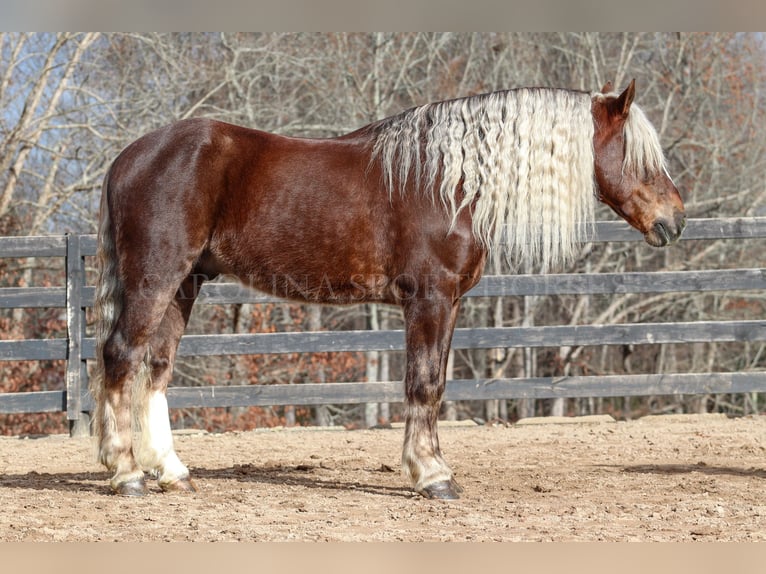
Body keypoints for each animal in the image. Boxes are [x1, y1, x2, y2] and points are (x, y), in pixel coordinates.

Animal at [91, 80, 688, 500]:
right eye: (639, 156)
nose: (675, 220)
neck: (450, 181)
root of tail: (128, 157)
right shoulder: (429, 299)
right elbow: (422, 385)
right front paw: (432, 476)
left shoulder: (449, 305)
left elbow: (436, 385)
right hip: (157, 277)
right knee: (121, 355)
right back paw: (127, 474)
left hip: (185, 283)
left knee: (156, 366)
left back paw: (172, 472)